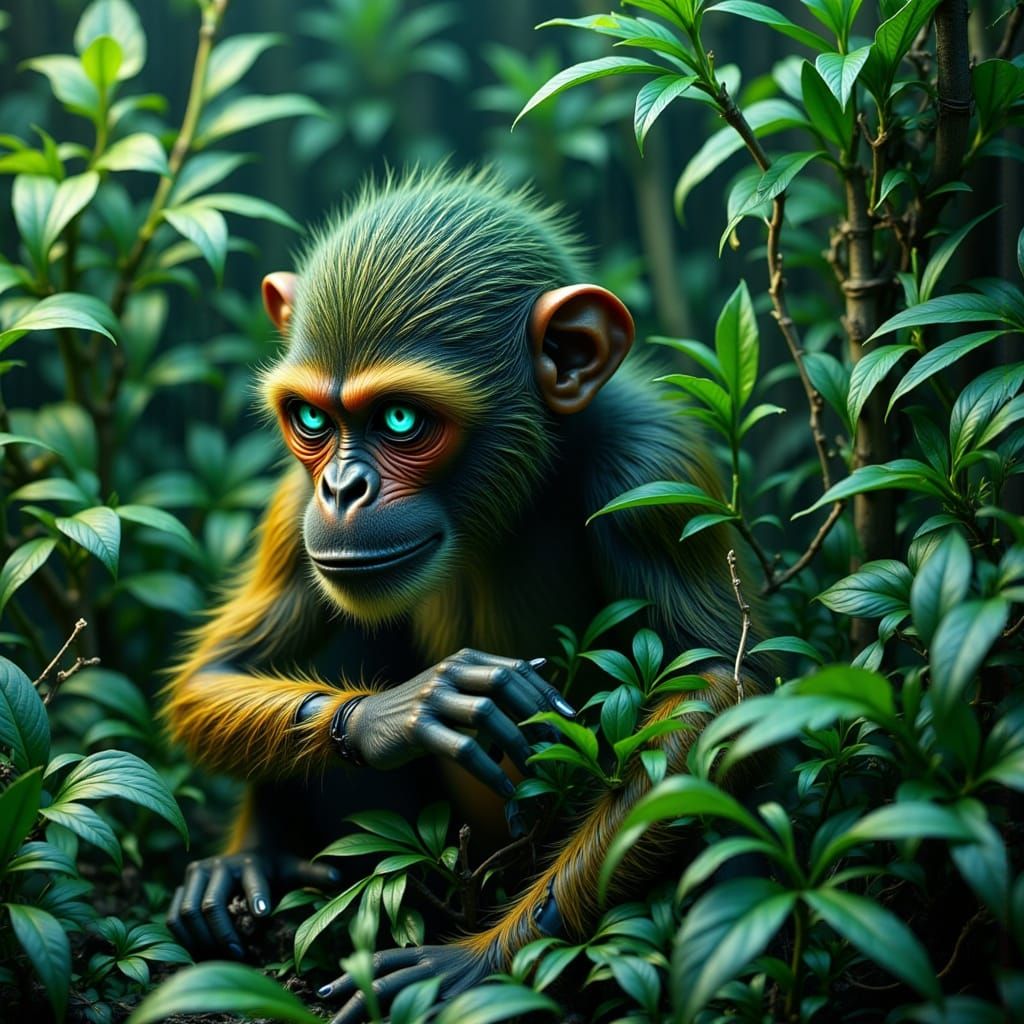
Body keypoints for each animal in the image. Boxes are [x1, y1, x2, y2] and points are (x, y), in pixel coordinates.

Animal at [162, 167, 754, 1023]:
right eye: (311, 418)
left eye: (402, 419)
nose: (342, 489)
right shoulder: (291, 503)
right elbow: (209, 677)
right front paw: (400, 712)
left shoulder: (653, 470)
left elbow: (710, 694)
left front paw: (480, 964)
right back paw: (252, 862)